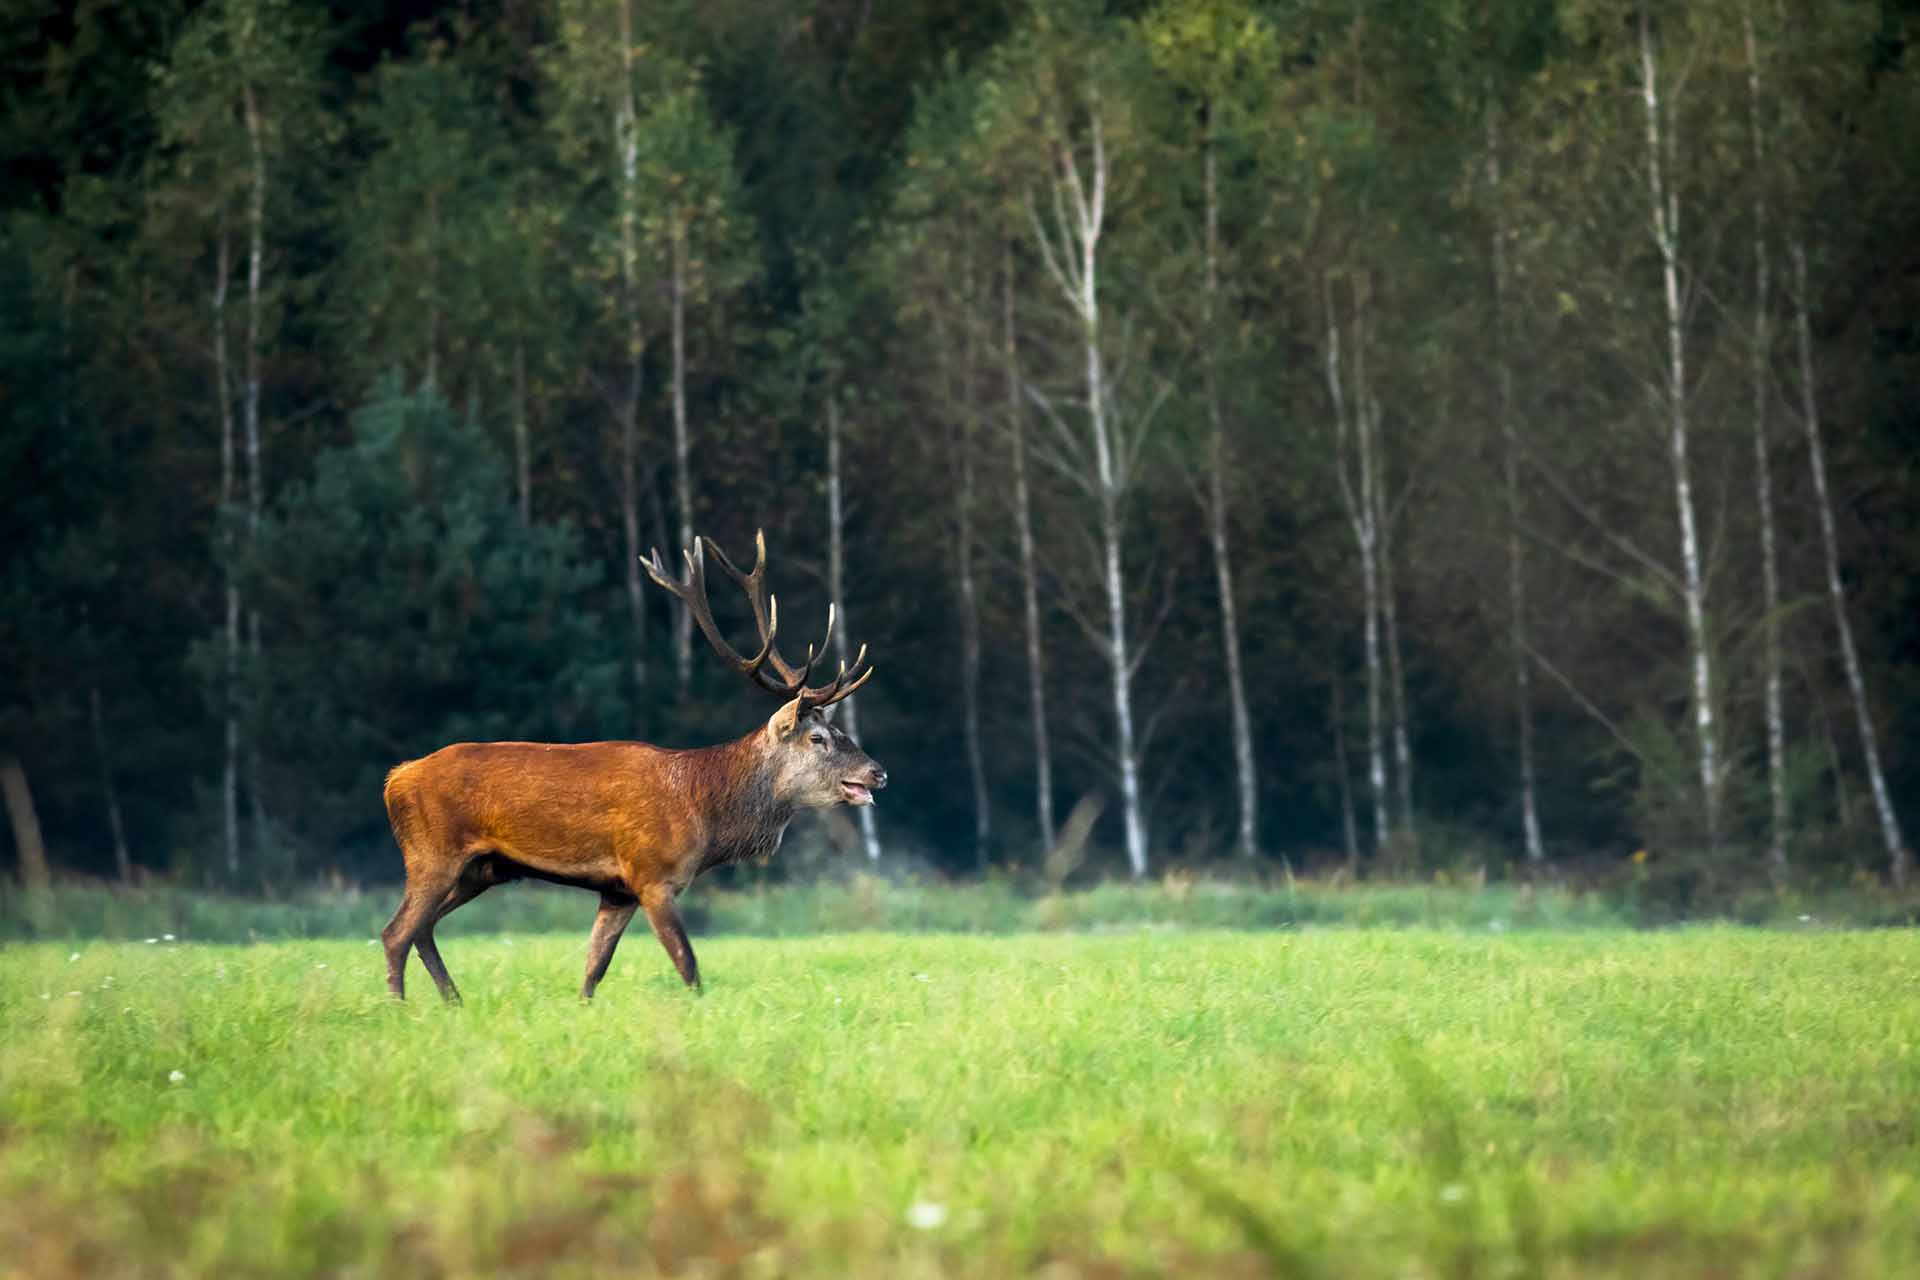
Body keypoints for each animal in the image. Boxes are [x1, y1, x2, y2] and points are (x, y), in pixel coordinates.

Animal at [380, 529, 883, 997]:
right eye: (818, 738)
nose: (877, 772)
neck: (704, 812)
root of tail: (395, 778)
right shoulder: (651, 874)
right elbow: (688, 965)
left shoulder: (617, 891)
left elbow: (593, 970)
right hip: (431, 854)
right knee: (395, 932)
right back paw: (402, 1008)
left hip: (479, 870)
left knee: (422, 929)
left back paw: (454, 1001)